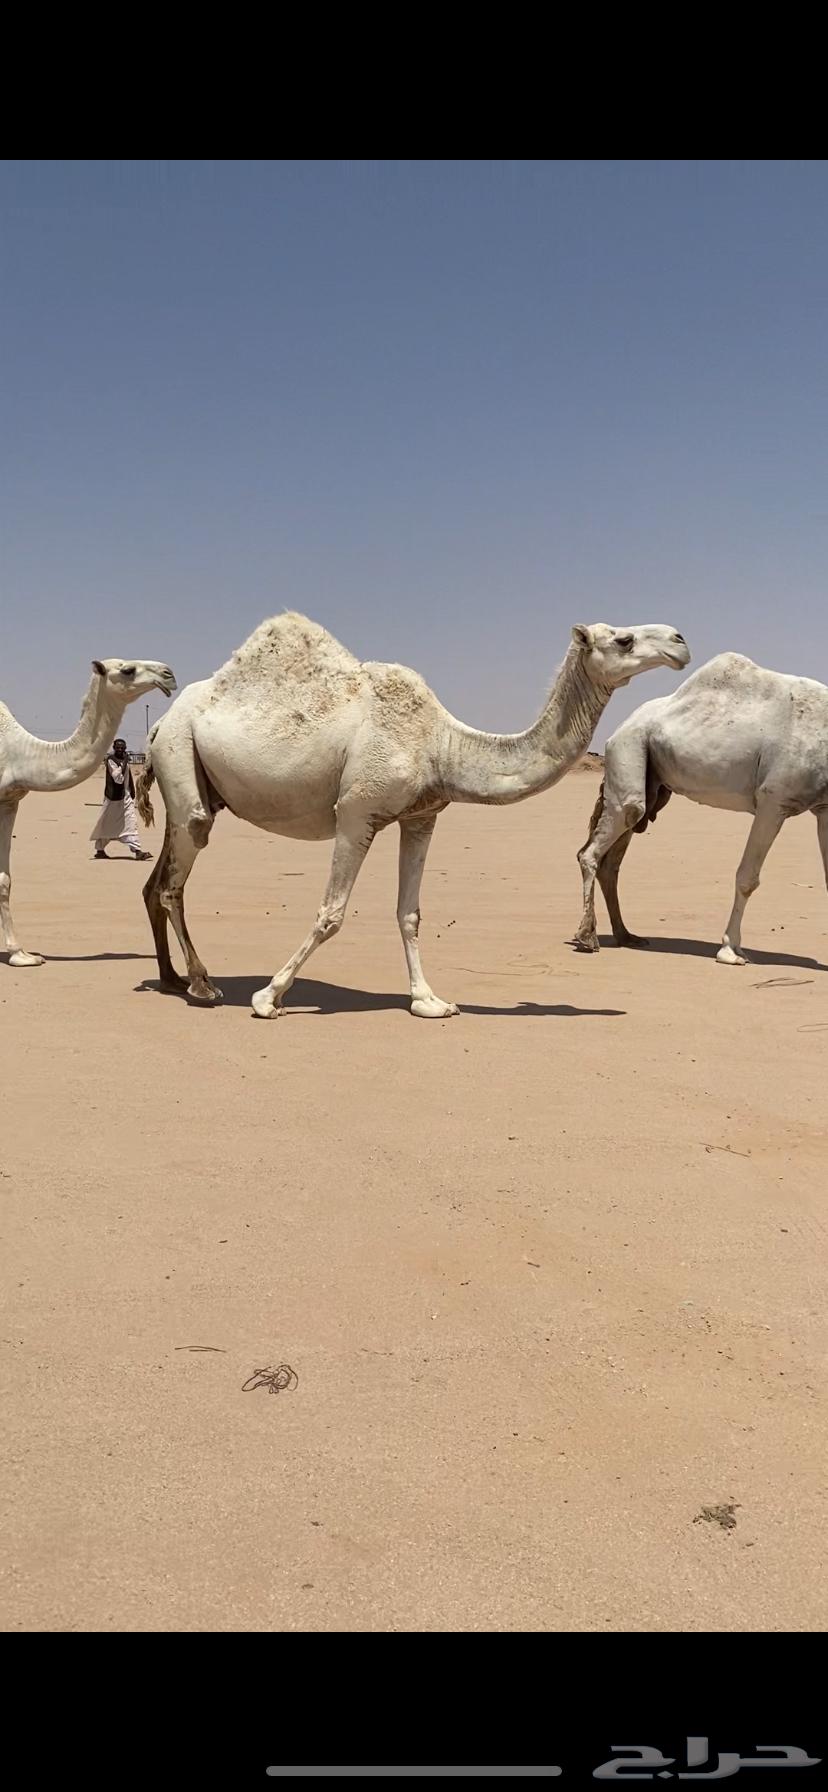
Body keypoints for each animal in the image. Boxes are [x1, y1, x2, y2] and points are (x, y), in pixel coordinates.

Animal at [0, 657, 176, 966]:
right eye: (127, 669)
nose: (168, 674)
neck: (18, 753)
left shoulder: (10, 801)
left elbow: (4, 879)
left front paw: (21, 955)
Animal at [136, 611, 689, 1017]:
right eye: (623, 639)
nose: (681, 641)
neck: (439, 745)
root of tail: (159, 722)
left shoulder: (422, 816)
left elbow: (410, 913)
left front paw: (429, 1001)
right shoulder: (356, 811)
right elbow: (331, 913)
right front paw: (269, 996)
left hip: (191, 785)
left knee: (156, 880)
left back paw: (171, 979)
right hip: (180, 756)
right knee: (174, 879)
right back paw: (203, 985)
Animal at [574, 652, 828, 966]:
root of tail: (620, 728)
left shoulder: (824, 808)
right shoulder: (773, 799)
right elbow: (747, 878)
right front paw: (730, 951)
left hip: (650, 780)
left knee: (615, 855)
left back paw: (626, 936)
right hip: (628, 748)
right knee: (596, 845)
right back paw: (588, 937)